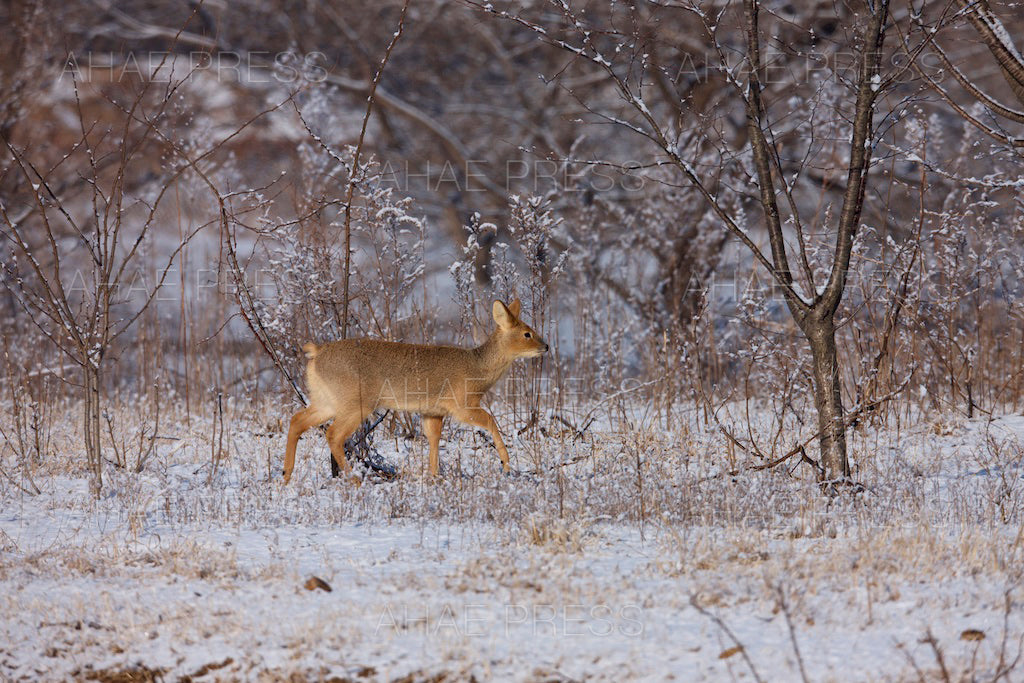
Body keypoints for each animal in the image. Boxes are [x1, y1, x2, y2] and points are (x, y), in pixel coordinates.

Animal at [282, 299, 548, 483]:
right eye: (527, 333)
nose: (545, 346)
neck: (478, 368)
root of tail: (316, 353)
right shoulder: (461, 404)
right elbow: (491, 420)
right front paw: (506, 462)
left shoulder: (433, 412)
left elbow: (433, 440)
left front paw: (434, 477)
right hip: (355, 402)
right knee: (333, 435)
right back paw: (354, 480)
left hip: (325, 400)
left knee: (297, 421)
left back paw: (286, 475)